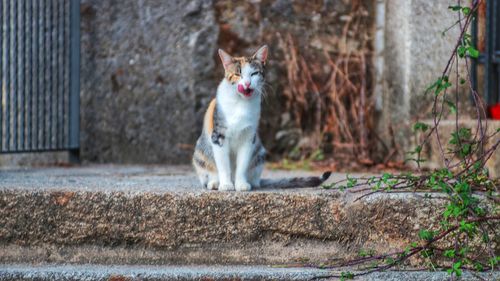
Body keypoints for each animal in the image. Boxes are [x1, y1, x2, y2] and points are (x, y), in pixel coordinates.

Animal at [193, 46, 330, 190]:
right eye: (238, 74)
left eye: (254, 74)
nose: (247, 83)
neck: (240, 103)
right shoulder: (218, 136)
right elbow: (223, 165)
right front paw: (226, 185)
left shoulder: (249, 137)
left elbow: (242, 164)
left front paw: (241, 184)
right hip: (200, 154)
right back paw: (215, 182)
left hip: (260, 152)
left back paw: (250, 182)